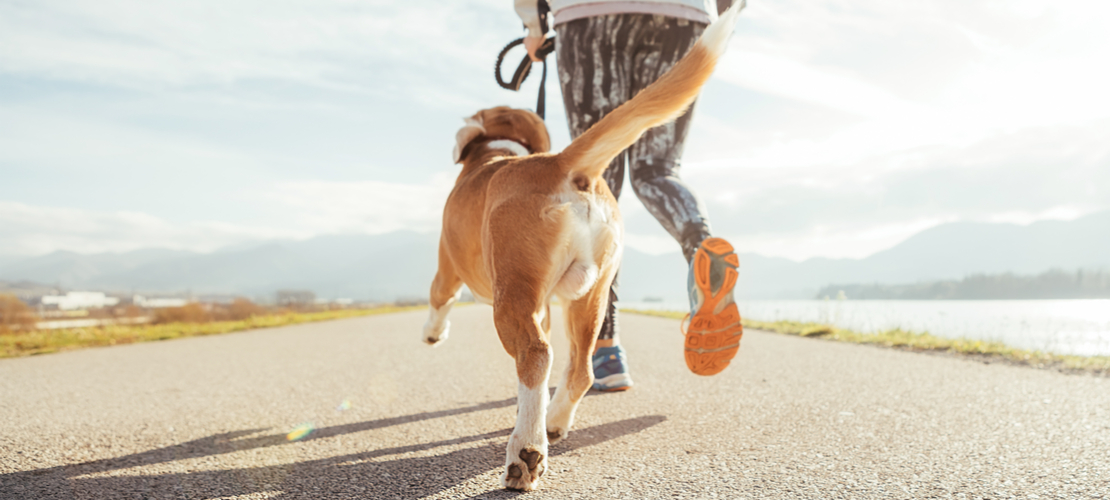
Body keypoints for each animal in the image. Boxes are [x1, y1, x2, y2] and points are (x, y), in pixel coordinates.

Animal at [424, 1, 745, 491]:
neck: (495, 154)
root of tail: (560, 163)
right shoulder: (546, 304)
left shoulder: (447, 262)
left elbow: (439, 296)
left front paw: (433, 333)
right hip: (589, 296)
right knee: (580, 369)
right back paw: (554, 421)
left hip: (513, 294)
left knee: (536, 355)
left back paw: (527, 450)